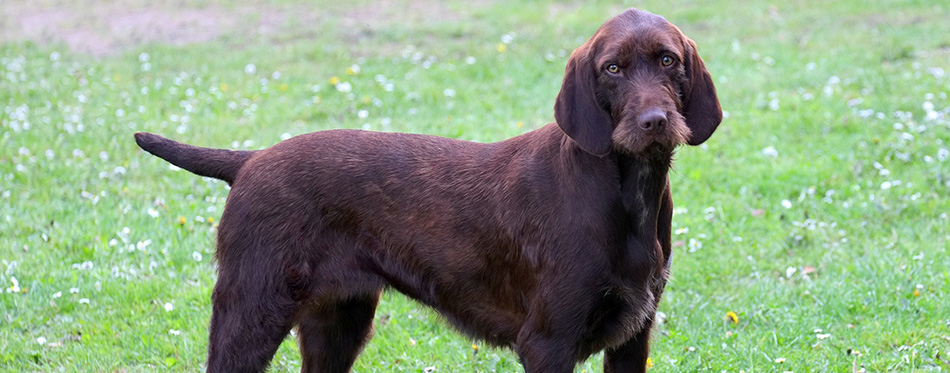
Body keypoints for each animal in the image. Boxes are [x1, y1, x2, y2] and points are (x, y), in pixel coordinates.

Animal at [136, 8, 720, 372]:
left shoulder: (632, 339)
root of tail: (251, 160)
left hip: (339, 319)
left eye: (668, 60)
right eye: (613, 68)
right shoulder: (548, 342)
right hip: (250, 310)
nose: (653, 121)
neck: (627, 194)